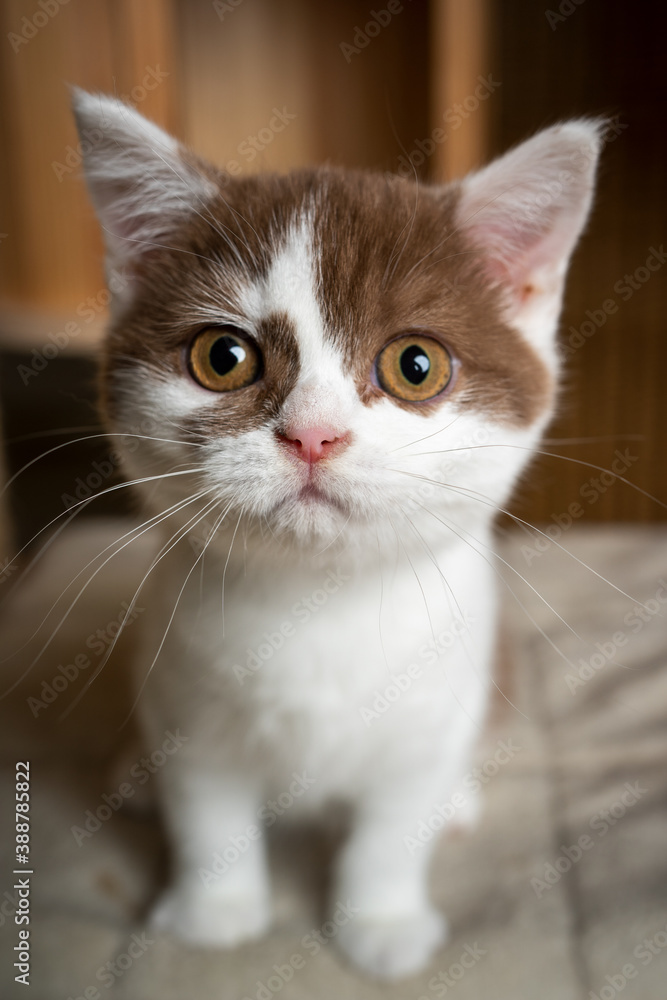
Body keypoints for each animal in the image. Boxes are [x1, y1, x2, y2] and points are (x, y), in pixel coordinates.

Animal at [72, 90, 600, 980]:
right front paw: (216, 912)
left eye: (415, 365)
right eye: (223, 357)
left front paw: (380, 921)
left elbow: (391, 827)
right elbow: (207, 811)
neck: (316, 599)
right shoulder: (185, 693)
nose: (313, 435)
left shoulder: (433, 704)